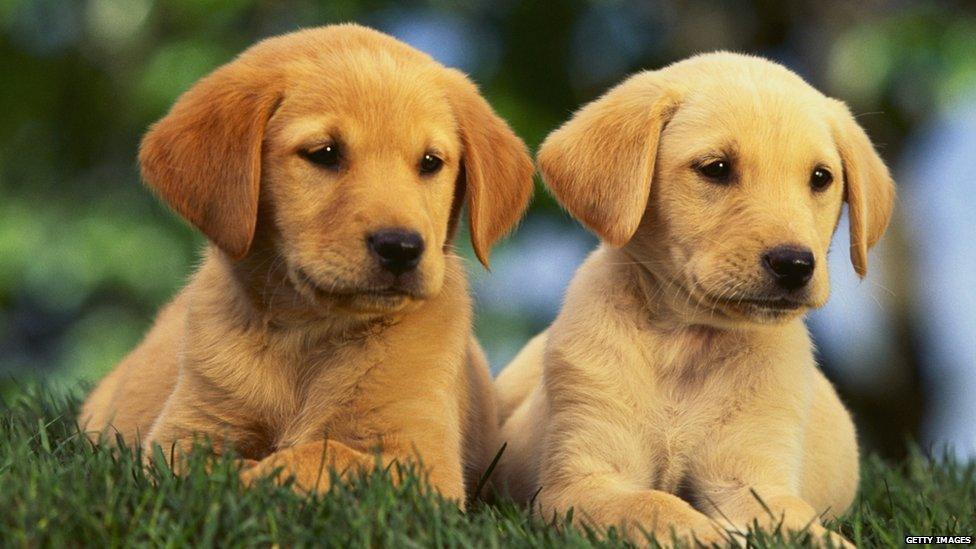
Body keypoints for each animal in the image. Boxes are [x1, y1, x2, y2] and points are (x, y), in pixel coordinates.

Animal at [78, 25, 532, 506]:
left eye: (430, 162)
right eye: (324, 153)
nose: (402, 248)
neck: (309, 334)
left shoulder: (423, 461)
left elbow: (322, 455)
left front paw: (258, 475)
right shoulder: (183, 435)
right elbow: (210, 468)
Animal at [492, 52, 896, 544]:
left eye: (821, 178)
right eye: (716, 168)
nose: (795, 264)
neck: (687, 339)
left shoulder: (751, 480)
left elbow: (800, 526)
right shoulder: (580, 483)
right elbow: (654, 505)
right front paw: (706, 533)